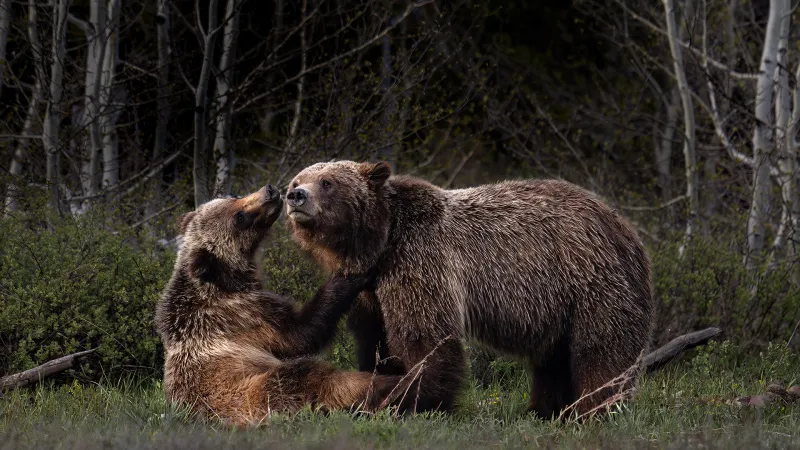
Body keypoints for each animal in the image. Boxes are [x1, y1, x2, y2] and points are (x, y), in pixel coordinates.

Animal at [154, 184, 405, 426]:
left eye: (233, 197)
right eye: (239, 217)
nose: (270, 192)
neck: (227, 281)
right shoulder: (246, 313)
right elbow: (301, 334)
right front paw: (353, 273)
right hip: (255, 393)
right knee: (316, 377)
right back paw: (393, 386)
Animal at [283, 160, 654, 419]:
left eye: (327, 182)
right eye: (297, 179)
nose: (295, 196)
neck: (381, 242)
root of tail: (625, 227)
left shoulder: (419, 260)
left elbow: (425, 339)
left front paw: (411, 401)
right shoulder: (370, 289)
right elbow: (376, 340)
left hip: (590, 280)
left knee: (600, 352)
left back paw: (592, 410)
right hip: (559, 306)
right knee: (553, 361)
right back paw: (544, 411)